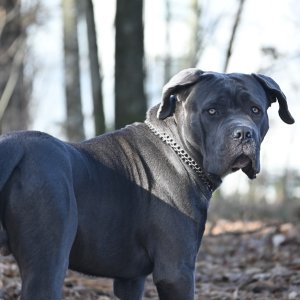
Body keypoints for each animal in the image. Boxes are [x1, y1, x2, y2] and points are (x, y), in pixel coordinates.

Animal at [0, 68, 296, 298]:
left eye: (255, 110)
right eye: (212, 111)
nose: (243, 133)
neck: (180, 149)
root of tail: (15, 147)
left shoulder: (130, 279)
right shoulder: (176, 272)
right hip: (47, 265)